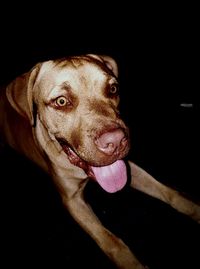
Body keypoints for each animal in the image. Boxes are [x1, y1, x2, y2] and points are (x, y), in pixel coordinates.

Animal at [0, 53, 199, 266]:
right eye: (61, 101)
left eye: (113, 89)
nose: (116, 141)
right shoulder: (73, 201)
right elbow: (110, 241)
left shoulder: (127, 168)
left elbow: (170, 192)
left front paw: (194, 208)